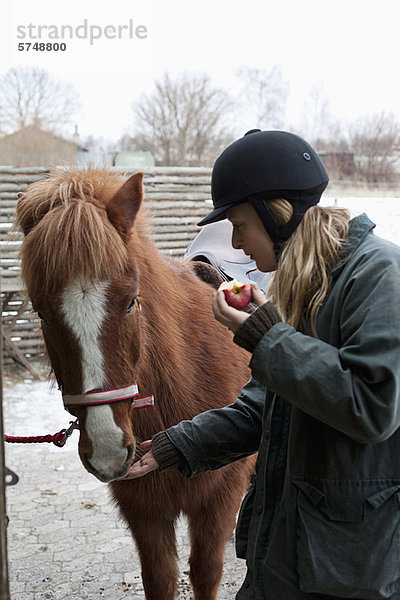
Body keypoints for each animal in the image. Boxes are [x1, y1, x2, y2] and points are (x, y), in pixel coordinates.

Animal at [15, 168, 255, 600]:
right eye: (41, 314)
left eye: (130, 302)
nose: (108, 448)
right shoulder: (143, 509)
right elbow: (159, 579)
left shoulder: (218, 497)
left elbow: (206, 572)